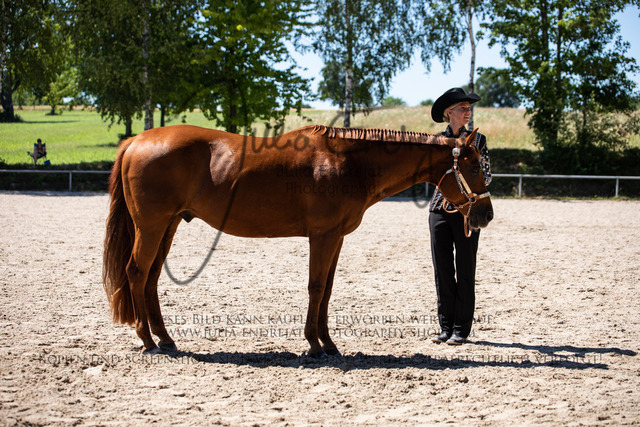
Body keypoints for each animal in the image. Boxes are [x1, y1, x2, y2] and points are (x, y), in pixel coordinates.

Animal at [103, 124, 493, 357]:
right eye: (475, 167)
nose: (486, 214)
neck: (346, 161)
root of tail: (137, 141)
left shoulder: (335, 238)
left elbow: (328, 290)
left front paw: (328, 343)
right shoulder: (322, 237)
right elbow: (316, 287)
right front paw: (314, 344)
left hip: (168, 226)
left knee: (151, 278)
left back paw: (166, 339)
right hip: (151, 227)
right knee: (137, 273)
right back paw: (147, 341)